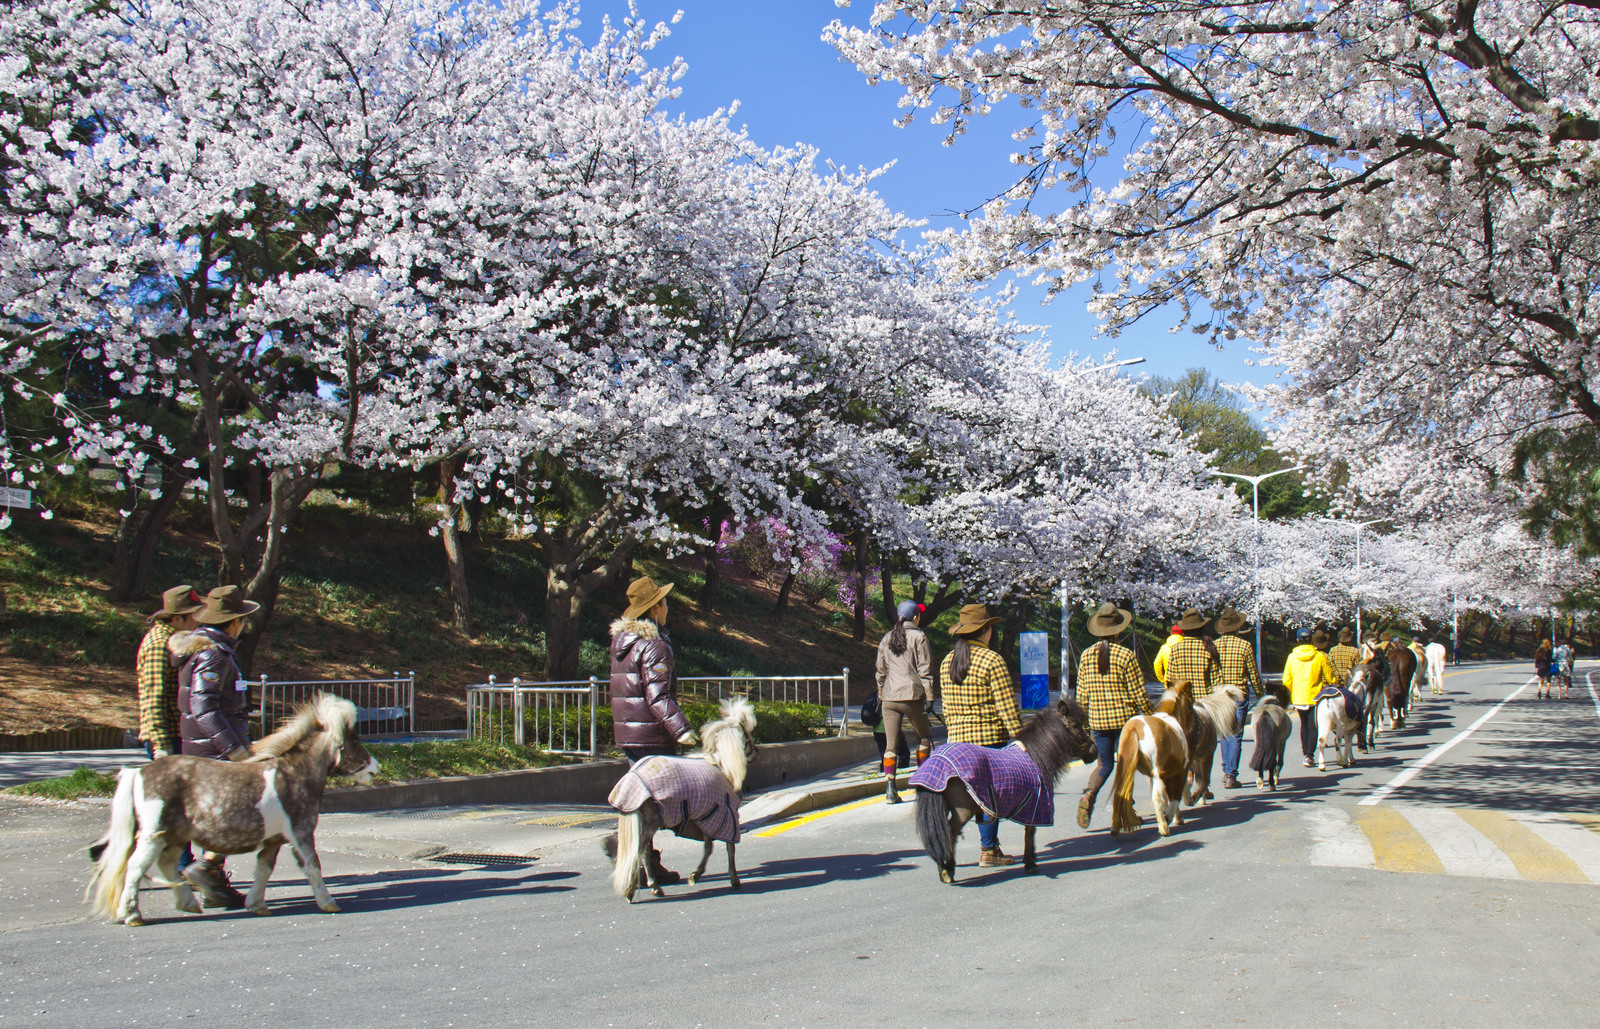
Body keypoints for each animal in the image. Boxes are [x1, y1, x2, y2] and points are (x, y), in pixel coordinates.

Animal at [87, 694, 376, 926]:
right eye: (354, 739)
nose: (376, 768)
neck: (295, 774)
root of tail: (138, 772)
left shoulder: (274, 840)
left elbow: (264, 868)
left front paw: (256, 905)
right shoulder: (301, 833)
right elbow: (312, 865)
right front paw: (328, 903)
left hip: (174, 835)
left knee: (167, 865)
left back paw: (190, 903)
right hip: (154, 835)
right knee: (135, 868)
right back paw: (133, 915)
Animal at [606, 697, 756, 902]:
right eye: (747, 735)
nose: (756, 752)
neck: (721, 766)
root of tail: (632, 779)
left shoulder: (706, 817)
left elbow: (709, 846)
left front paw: (696, 875)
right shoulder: (725, 815)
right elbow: (727, 848)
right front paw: (732, 879)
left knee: (641, 851)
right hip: (650, 822)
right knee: (640, 851)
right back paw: (642, 888)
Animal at [911, 698, 1095, 884]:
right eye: (1076, 726)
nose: (1094, 751)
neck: (1036, 757)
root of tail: (936, 759)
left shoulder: (1031, 807)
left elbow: (1029, 832)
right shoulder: (1036, 806)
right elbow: (1030, 833)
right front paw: (1030, 863)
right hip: (963, 811)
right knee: (949, 832)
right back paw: (947, 870)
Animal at [1109, 680, 1195, 837]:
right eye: (1190, 701)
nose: (1192, 724)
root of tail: (1135, 728)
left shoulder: (1155, 775)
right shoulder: (1179, 771)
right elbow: (1174, 795)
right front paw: (1173, 817)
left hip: (1126, 769)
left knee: (1119, 794)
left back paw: (1115, 828)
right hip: (1157, 772)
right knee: (1157, 798)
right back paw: (1164, 828)